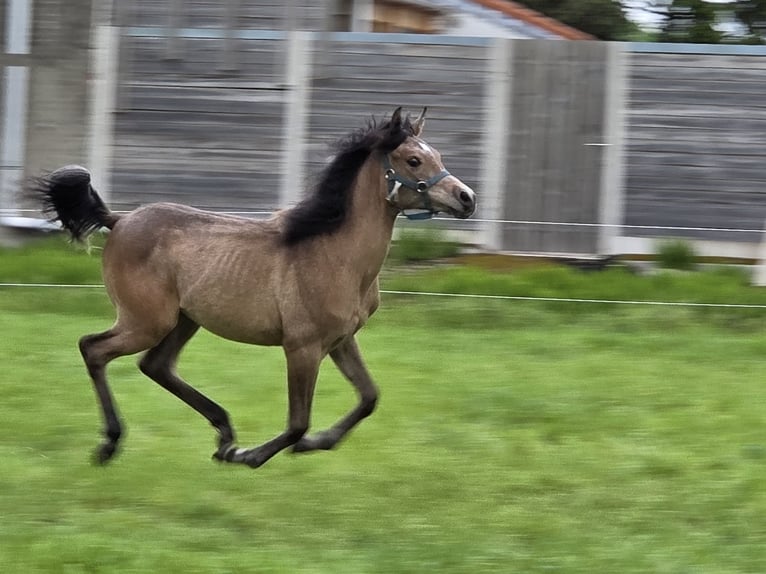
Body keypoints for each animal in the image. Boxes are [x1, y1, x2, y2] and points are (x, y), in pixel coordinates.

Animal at [34, 107, 476, 468]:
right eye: (414, 159)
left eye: (436, 155)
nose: (467, 198)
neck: (334, 253)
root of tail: (119, 220)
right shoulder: (303, 347)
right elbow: (298, 421)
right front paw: (252, 455)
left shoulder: (340, 340)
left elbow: (368, 398)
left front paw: (313, 443)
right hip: (146, 321)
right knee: (94, 349)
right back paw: (112, 443)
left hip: (184, 320)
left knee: (155, 365)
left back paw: (224, 434)